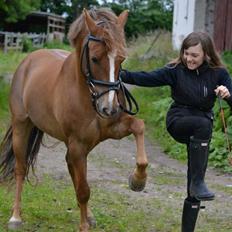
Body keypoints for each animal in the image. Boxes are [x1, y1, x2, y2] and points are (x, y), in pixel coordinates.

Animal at [0, 8, 149, 231]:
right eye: (94, 59)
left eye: (121, 59)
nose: (109, 108)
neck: (87, 95)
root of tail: (28, 61)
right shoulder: (77, 144)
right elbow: (83, 190)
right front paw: (83, 225)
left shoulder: (112, 130)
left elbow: (139, 126)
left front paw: (138, 180)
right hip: (22, 126)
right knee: (21, 168)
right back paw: (15, 217)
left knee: (72, 170)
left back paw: (90, 214)